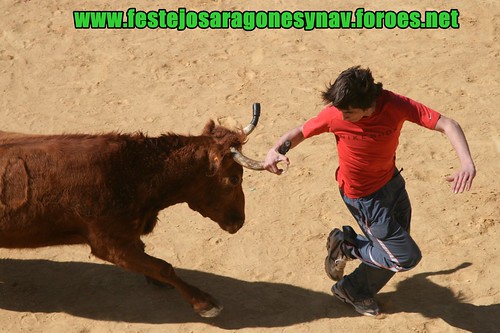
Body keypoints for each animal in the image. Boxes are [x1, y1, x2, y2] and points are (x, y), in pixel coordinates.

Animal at [0, 107, 266, 316]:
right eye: (234, 178)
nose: (239, 221)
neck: (131, 169)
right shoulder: (109, 244)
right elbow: (163, 266)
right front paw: (204, 303)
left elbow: (150, 257)